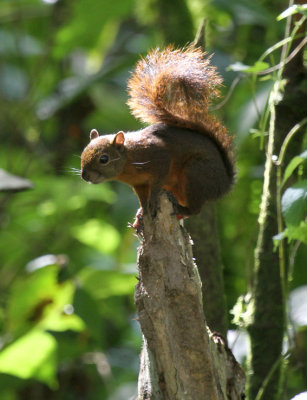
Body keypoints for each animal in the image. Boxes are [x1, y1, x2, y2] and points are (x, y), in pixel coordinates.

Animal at [80, 45, 235, 223]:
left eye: (104, 159)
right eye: (82, 154)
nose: (85, 176)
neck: (129, 160)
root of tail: (224, 185)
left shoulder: (158, 155)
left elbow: (156, 184)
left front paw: (153, 200)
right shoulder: (139, 184)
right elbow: (142, 198)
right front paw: (141, 213)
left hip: (195, 174)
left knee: (196, 208)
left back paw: (183, 210)